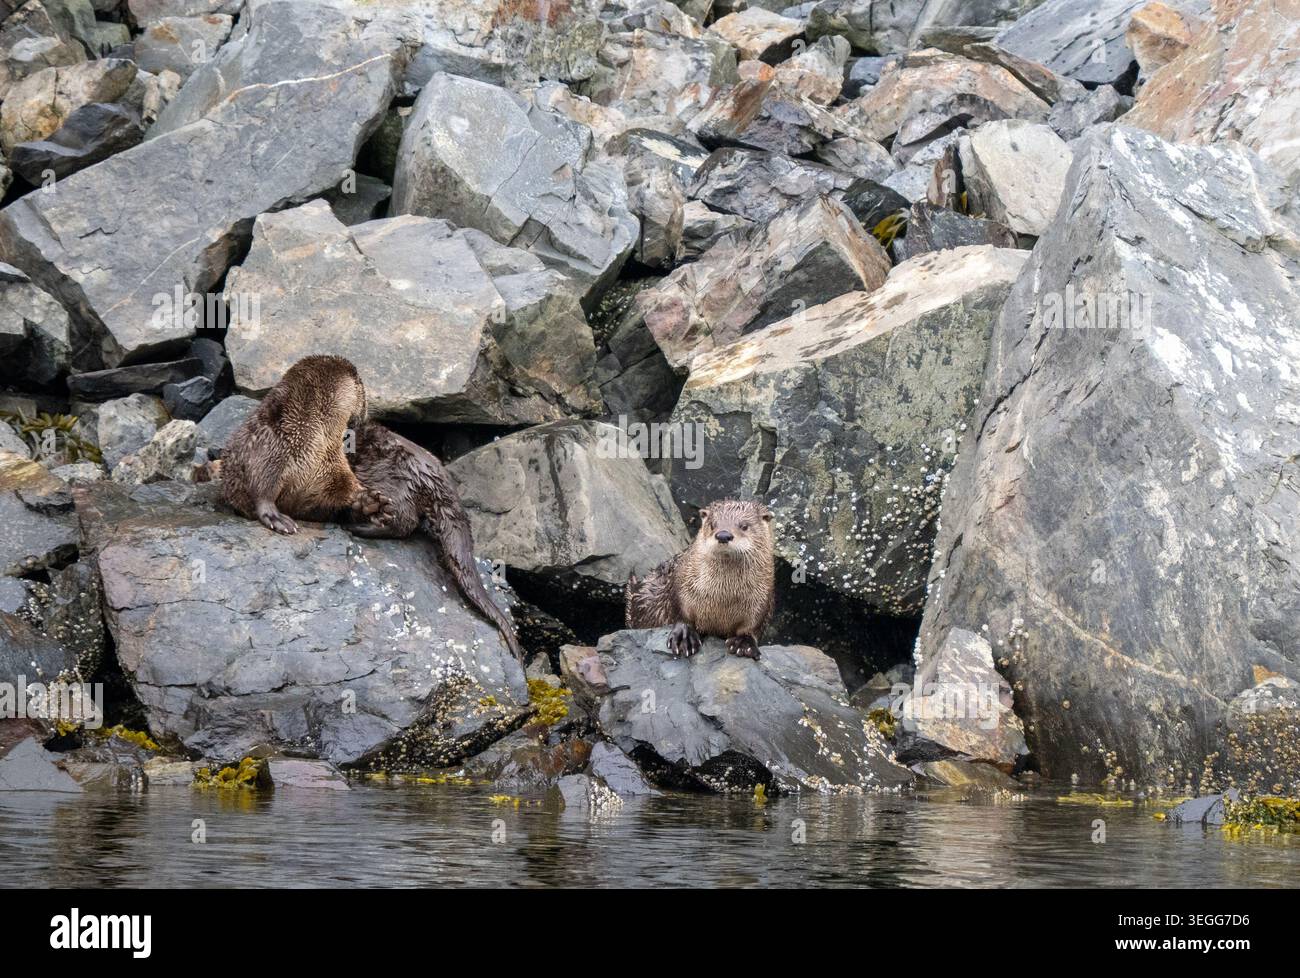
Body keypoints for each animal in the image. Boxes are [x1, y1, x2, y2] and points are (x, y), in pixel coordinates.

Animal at [625, 499, 775, 659]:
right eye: (712, 524)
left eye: (744, 526)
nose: (723, 535)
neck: (722, 598)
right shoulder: (681, 585)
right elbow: (680, 611)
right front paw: (684, 635)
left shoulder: (763, 599)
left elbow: (754, 625)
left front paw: (744, 642)